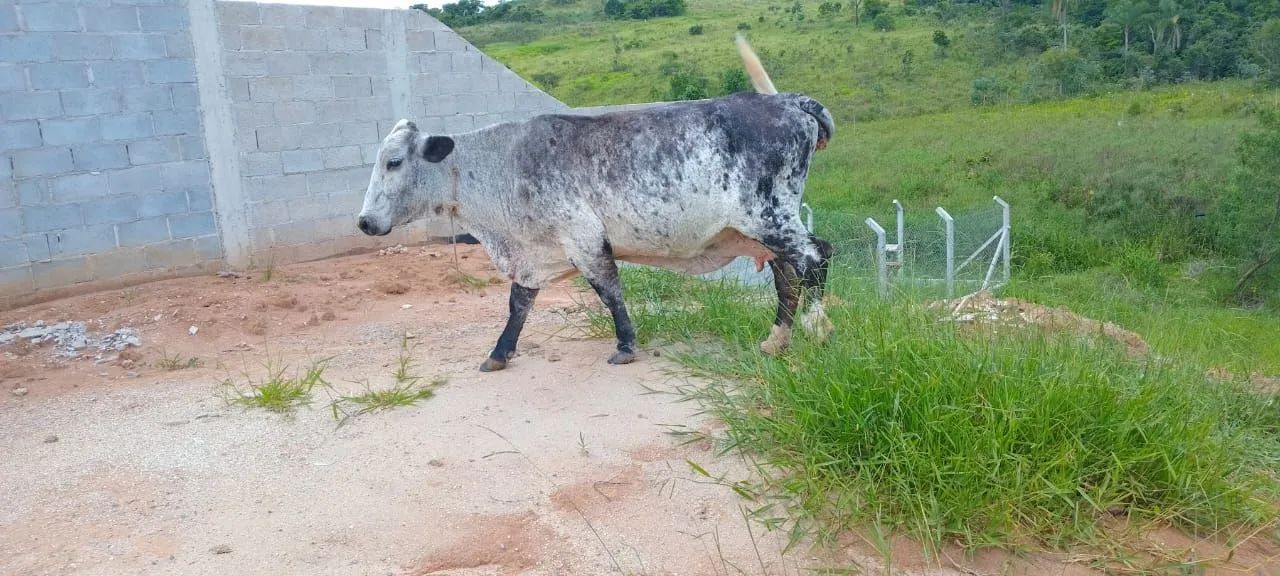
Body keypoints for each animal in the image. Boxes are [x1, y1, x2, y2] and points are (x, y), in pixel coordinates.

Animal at [357, 35, 836, 372]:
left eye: (394, 162)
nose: (364, 222)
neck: (503, 164)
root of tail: (788, 100)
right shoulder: (534, 254)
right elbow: (518, 304)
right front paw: (499, 352)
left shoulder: (584, 238)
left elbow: (609, 292)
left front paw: (625, 345)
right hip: (763, 229)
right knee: (787, 274)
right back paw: (776, 340)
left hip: (770, 217)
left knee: (816, 257)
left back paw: (818, 329)